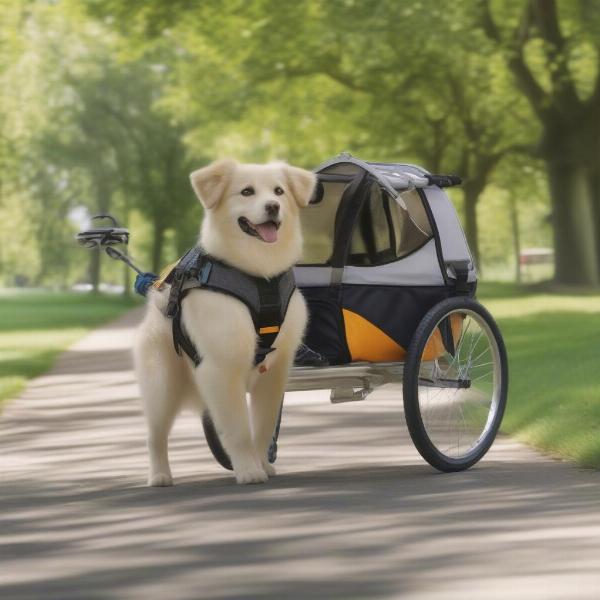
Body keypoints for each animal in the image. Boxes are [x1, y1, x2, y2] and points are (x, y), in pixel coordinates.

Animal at [134, 161, 316, 488]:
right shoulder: (222, 368)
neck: (259, 275)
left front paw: (261, 463)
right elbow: (239, 430)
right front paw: (248, 470)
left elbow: (263, 426)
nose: (273, 206)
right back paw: (159, 475)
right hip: (162, 384)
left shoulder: (275, 372)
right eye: (246, 192)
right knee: (155, 434)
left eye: (279, 191)